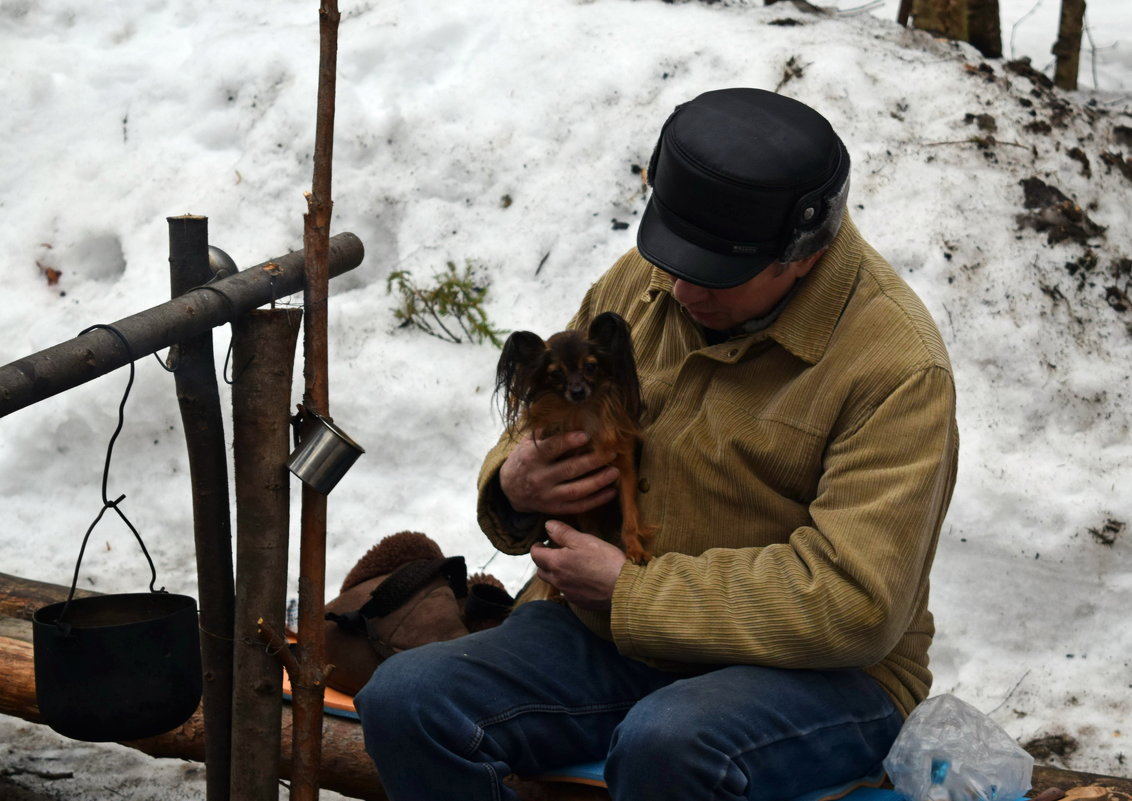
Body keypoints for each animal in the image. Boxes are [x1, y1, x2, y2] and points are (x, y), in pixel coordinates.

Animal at [498, 309, 656, 565]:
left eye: (590, 367)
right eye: (556, 374)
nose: (578, 391)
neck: (582, 412)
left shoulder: (625, 470)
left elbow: (630, 516)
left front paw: (635, 549)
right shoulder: (577, 493)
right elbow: (589, 527)